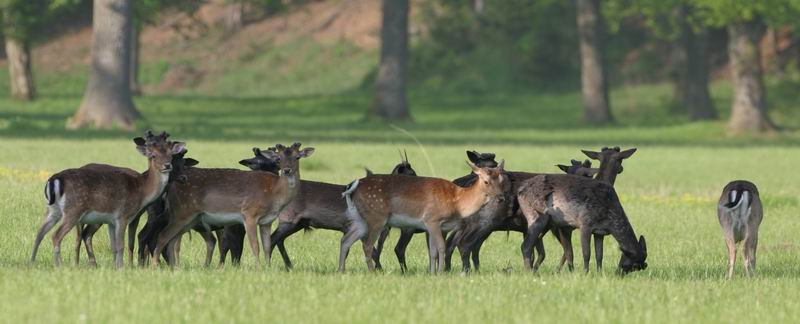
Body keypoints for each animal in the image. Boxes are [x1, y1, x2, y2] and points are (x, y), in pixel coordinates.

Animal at [31, 130, 186, 268]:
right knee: (56, 236)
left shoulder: (111, 221)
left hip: (52, 210)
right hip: (73, 210)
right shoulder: (122, 215)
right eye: (153, 155)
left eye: (170, 155)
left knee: (39, 233)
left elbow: (114, 247)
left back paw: (31, 263)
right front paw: (122, 268)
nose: (167, 165)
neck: (141, 191)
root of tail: (55, 179)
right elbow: (121, 245)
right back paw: (59, 266)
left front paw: (116, 267)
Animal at [340, 161, 504, 272]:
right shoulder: (432, 219)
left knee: (346, 240)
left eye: (502, 180)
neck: (458, 202)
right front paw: (440, 273)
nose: (502, 198)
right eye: (486, 181)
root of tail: (352, 188)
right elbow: (441, 247)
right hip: (376, 217)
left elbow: (432, 251)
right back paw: (373, 272)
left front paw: (432, 273)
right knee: (367, 245)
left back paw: (341, 270)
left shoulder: (436, 227)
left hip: (360, 219)